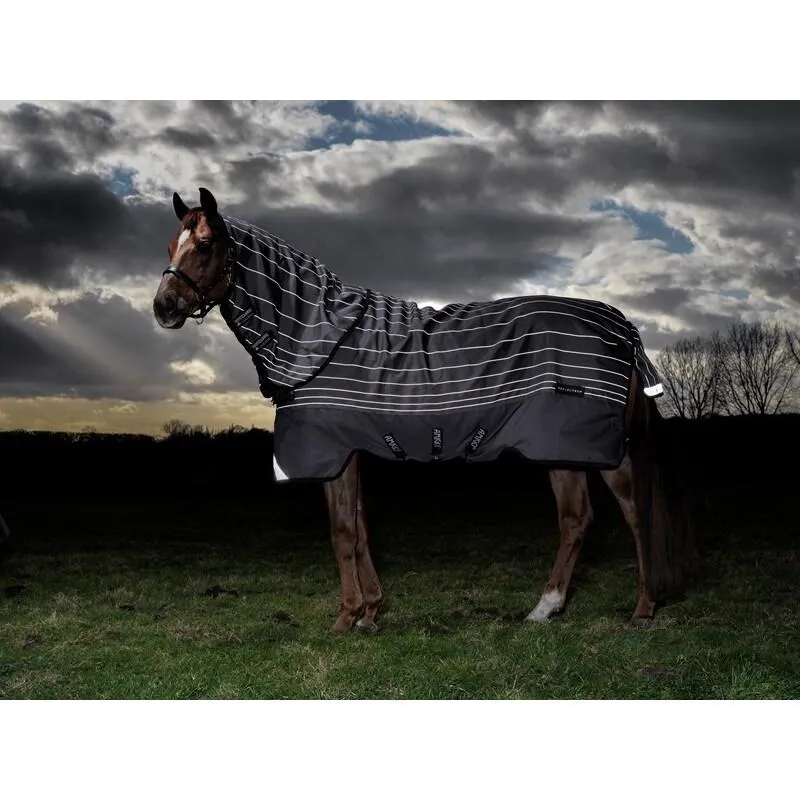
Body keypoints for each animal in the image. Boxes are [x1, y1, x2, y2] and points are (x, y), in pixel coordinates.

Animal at [153, 187, 697, 633]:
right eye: (170, 247)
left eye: (205, 245)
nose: (164, 307)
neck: (318, 334)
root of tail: (618, 322)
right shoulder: (351, 454)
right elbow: (361, 529)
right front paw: (371, 612)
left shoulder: (332, 455)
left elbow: (342, 532)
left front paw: (346, 617)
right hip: (564, 451)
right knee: (577, 520)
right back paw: (546, 608)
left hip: (592, 448)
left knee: (634, 514)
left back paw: (643, 607)